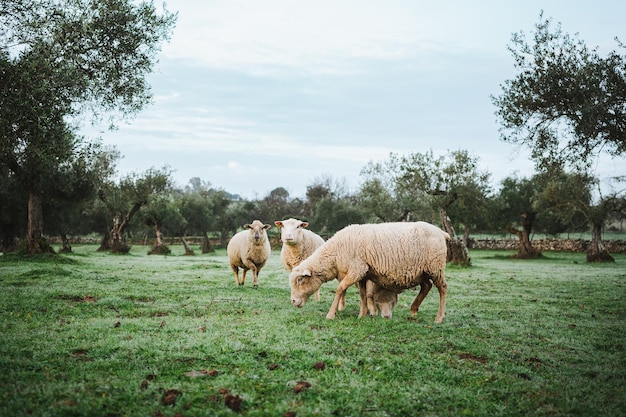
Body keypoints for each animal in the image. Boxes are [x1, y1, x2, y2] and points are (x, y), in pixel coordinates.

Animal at [288, 219, 448, 324]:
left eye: (300, 280)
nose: (293, 301)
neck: (334, 253)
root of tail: (441, 231)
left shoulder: (357, 269)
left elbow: (340, 289)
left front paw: (331, 314)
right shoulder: (363, 273)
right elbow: (362, 294)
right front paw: (363, 314)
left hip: (436, 267)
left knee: (442, 288)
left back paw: (439, 318)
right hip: (423, 271)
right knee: (427, 286)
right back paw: (414, 310)